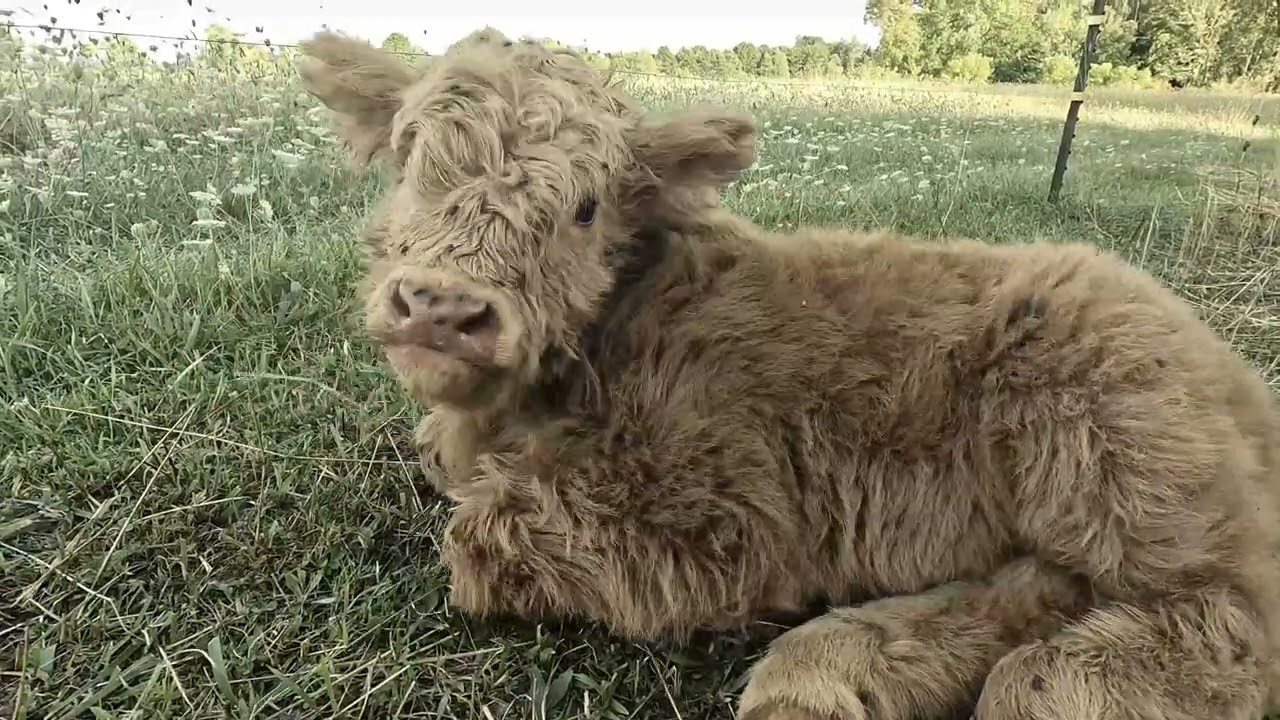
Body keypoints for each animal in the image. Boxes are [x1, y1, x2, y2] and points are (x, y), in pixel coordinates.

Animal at [297, 29, 1280, 720]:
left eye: (583, 207)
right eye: (412, 159)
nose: (440, 306)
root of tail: (1233, 371)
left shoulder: (719, 515)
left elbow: (476, 535)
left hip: (1114, 453)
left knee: (1236, 616)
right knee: (1050, 583)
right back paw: (837, 674)